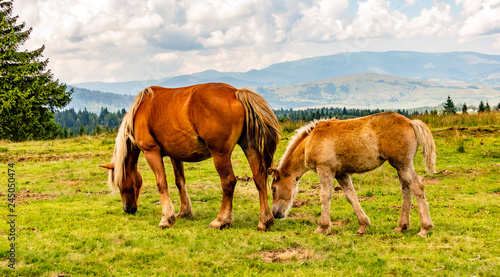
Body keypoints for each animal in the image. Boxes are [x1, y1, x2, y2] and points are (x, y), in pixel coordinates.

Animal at [100, 83, 282, 230]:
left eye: (119, 183)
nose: (127, 209)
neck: (141, 110)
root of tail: (236, 93)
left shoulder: (151, 152)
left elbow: (162, 183)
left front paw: (166, 219)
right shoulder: (175, 155)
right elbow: (180, 182)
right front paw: (184, 211)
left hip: (220, 154)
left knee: (229, 182)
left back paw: (221, 220)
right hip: (250, 148)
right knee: (259, 179)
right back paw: (264, 221)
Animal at [270, 111, 438, 236]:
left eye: (273, 188)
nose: (275, 214)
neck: (310, 141)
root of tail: (410, 122)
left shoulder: (325, 170)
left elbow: (325, 196)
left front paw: (322, 227)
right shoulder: (341, 174)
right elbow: (351, 196)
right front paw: (363, 225)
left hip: (403, 165)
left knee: (417, 187)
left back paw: (425, 228)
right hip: (400, 167)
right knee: (406, 190)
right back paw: (401, 226)